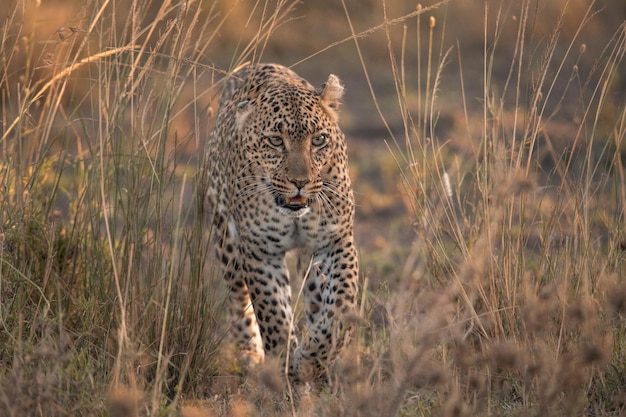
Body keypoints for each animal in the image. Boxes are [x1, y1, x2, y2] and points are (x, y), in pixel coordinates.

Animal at [205, 63, 358, 382]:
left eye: (318, 140)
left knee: (316, 300)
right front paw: (286, 365)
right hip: (225, 237)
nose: (300, 182)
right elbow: (273, 314)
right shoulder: (260, 250)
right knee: (238, 297)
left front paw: (313, 357)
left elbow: (339, 305)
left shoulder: (335, 241)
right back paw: (249, 353)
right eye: (276, 141)